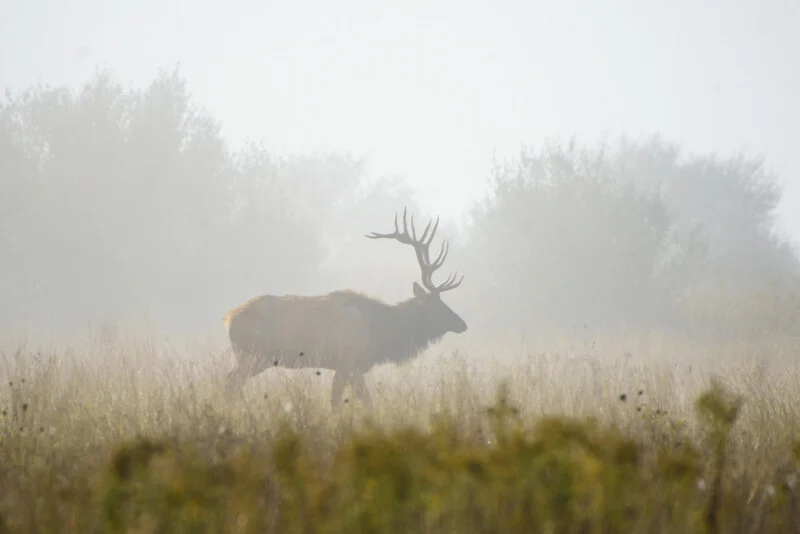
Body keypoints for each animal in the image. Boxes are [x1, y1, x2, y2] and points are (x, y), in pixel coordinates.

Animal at [222, 207, 467, 408]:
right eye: (437, 305)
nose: (462, 324)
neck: (380, 333)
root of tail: (229, 318)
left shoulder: (353, 367)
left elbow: (360, 401)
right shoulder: (347, 362)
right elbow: (345, 402)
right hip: (253, 354)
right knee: (231, 381)